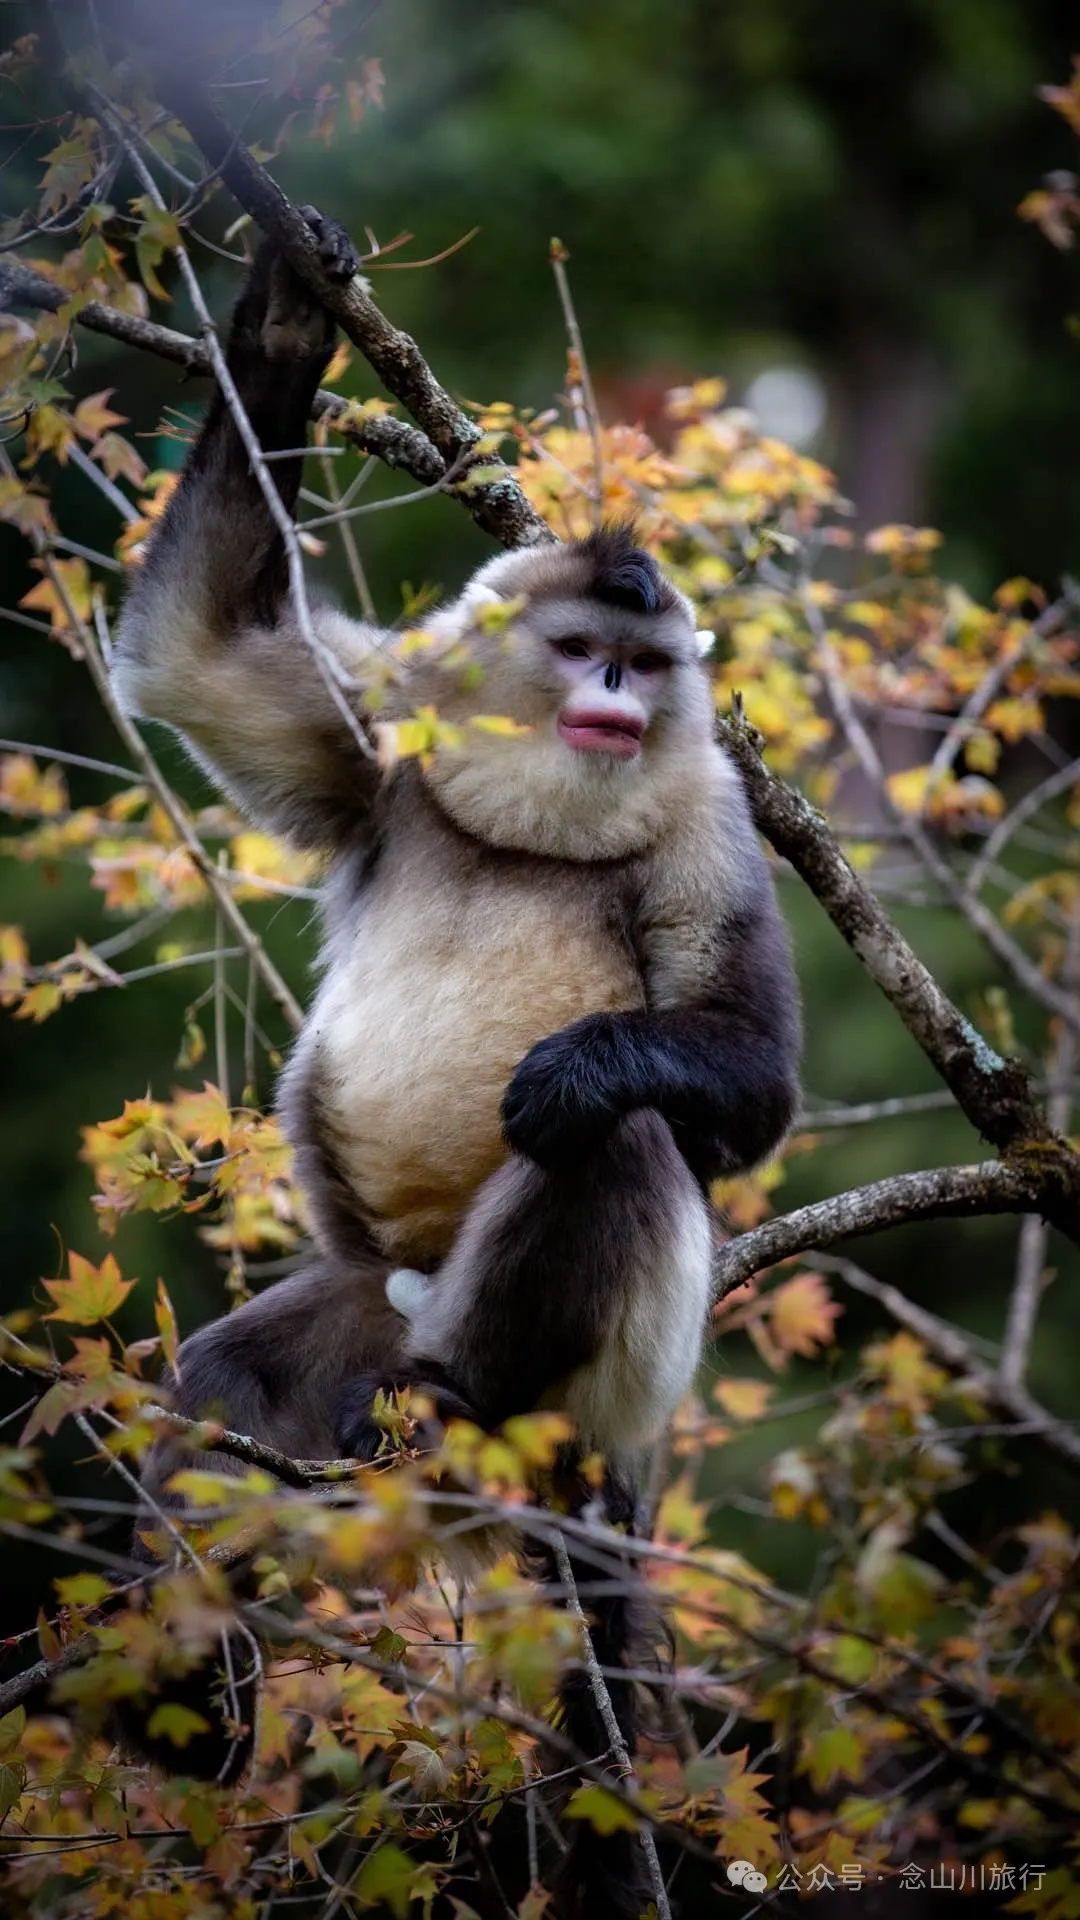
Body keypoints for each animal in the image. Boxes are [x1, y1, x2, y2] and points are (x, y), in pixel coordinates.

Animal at [112, 208, 800, 1911]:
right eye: (582, 649)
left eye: (644, 665)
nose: (619, 698)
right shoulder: (391, 723)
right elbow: (198, 656)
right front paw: (286, 321)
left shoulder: (711, 820)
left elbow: (746, 1088)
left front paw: (577, 1073)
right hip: (356, 1308)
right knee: (223, 1395)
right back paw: (190, 1710)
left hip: (588, 1390)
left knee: (616, 1148)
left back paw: (467, 1371)